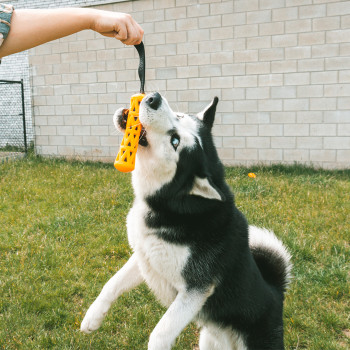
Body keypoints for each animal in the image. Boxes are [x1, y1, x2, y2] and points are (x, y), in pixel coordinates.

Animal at [80, 93, 292, 350]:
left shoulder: (197, 289)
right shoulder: (145, 257)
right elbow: (111, 283)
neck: (168, 202)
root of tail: (276, 292)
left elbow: (160, 333)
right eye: (179, 116)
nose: (154, 98)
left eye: (175, 141)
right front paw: (92, 317)